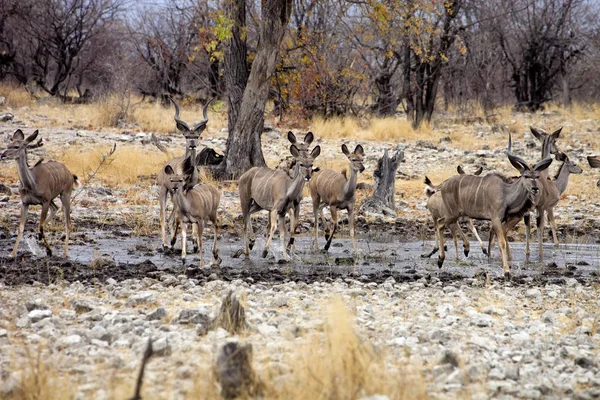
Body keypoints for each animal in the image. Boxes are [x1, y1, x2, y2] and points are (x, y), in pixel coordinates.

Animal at [0, 130, 79, 258]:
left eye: (16, 146)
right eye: (8, 145)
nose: (2, 155)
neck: (31, 184)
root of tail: (71, 174)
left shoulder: (45, 201)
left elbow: (40, 226)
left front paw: (49, 251)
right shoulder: (25, 202)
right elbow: (21, 227)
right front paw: (12, 254)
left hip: (65, 194)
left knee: (68, 224)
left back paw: (65, 254)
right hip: (52, 199)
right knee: (55, 208)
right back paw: (39, 237)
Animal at [157, 99, 211, 248]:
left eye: (197, 136)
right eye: (186, 136)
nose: (192, 145)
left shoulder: (189, 189)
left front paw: (194, 242)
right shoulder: (177, 190)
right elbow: (176, 217)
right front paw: (174, 240)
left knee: (170, 217)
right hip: (164, 190)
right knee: (163, 216)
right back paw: (166, 243)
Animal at [434, 141, 552, 278]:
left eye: (537, 176)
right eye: (526, 176)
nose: (535, 188)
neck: (506, 193)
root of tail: (444, 185)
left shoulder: (502, 219)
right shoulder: (495, 219)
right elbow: (502, 242)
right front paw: (506, 271)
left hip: (454, 214)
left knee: (441, 223)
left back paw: (443, 259)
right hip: (452, 213)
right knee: (440, 224)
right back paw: (441, 259)